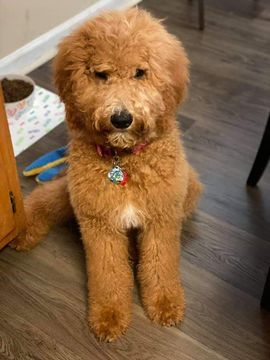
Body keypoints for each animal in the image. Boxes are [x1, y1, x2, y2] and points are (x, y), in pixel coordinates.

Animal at [12, 7, 202, 340]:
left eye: (140, 72)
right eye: (101, 74)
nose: (121, 118)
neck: (121, 161)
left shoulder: (161, 218)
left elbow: (161, 263)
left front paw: (165, 304)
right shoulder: (99, 223)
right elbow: (108, 273)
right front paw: (110, 315)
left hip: (188, 188)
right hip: (72, 192)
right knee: (44, 197)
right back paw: (23, 229)